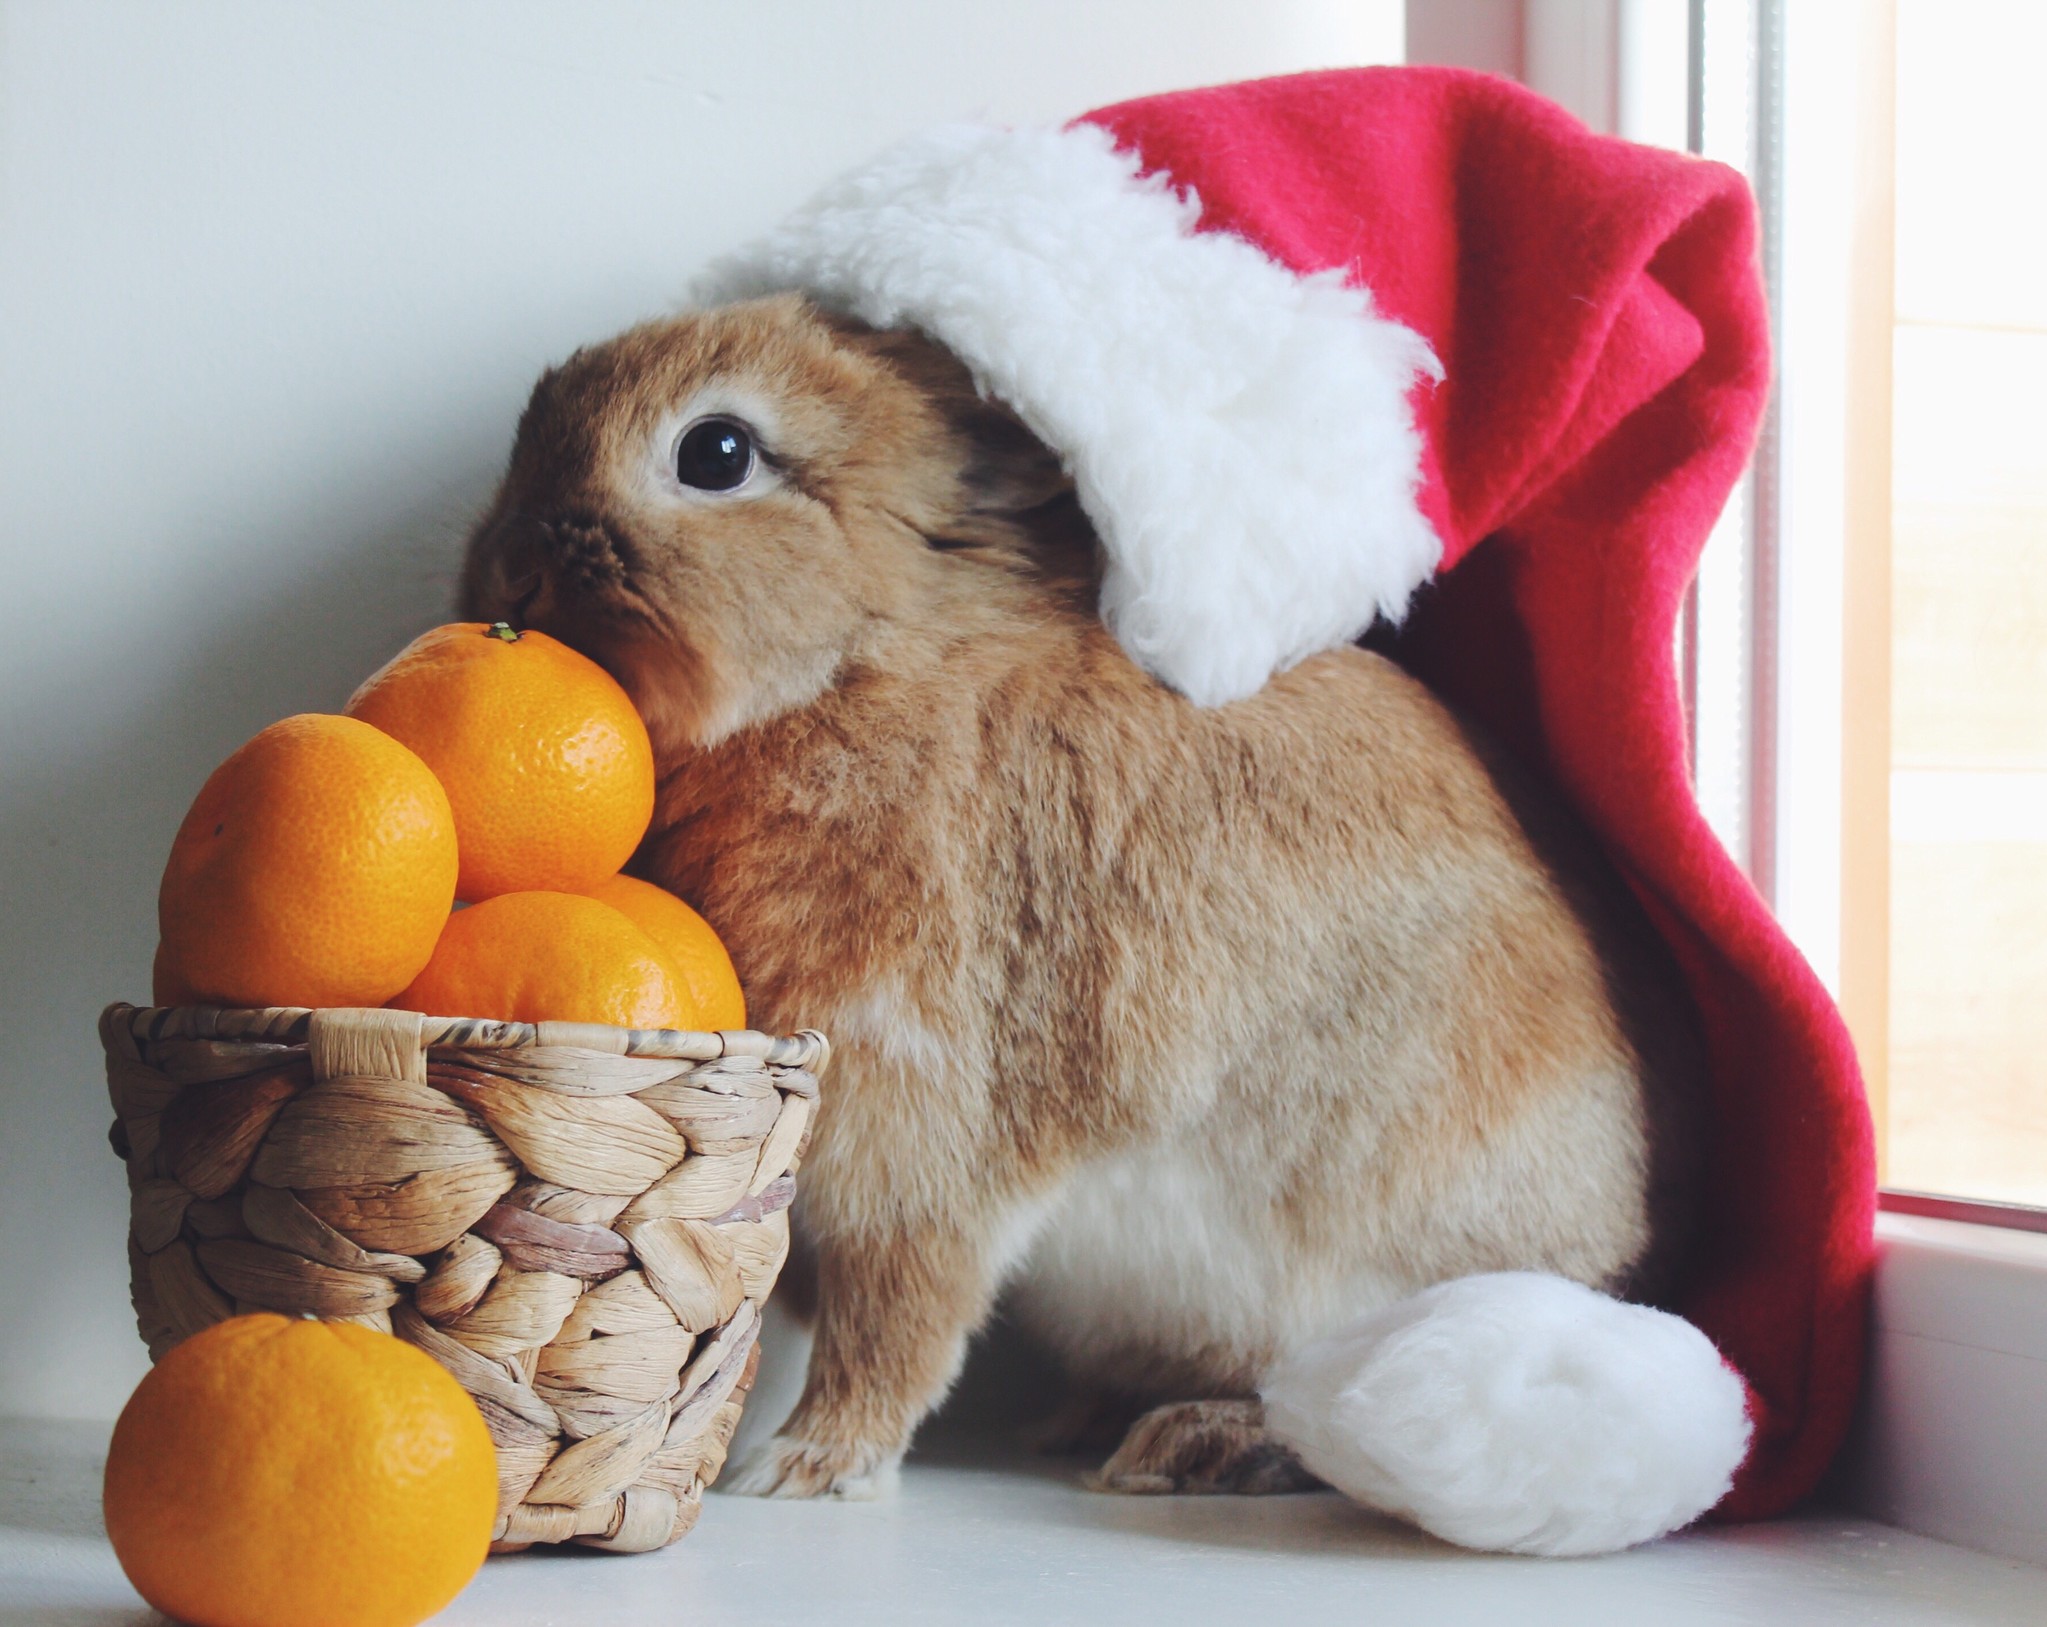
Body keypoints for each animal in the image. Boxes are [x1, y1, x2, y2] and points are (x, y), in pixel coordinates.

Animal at [464, 296, 1711, 1514]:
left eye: (714, 453)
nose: (510, 567)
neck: (867, 658)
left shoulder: (923, 1111)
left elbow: (899, 1306)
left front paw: (809, 1463)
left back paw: (1202, 1444)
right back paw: (1091, 1423)